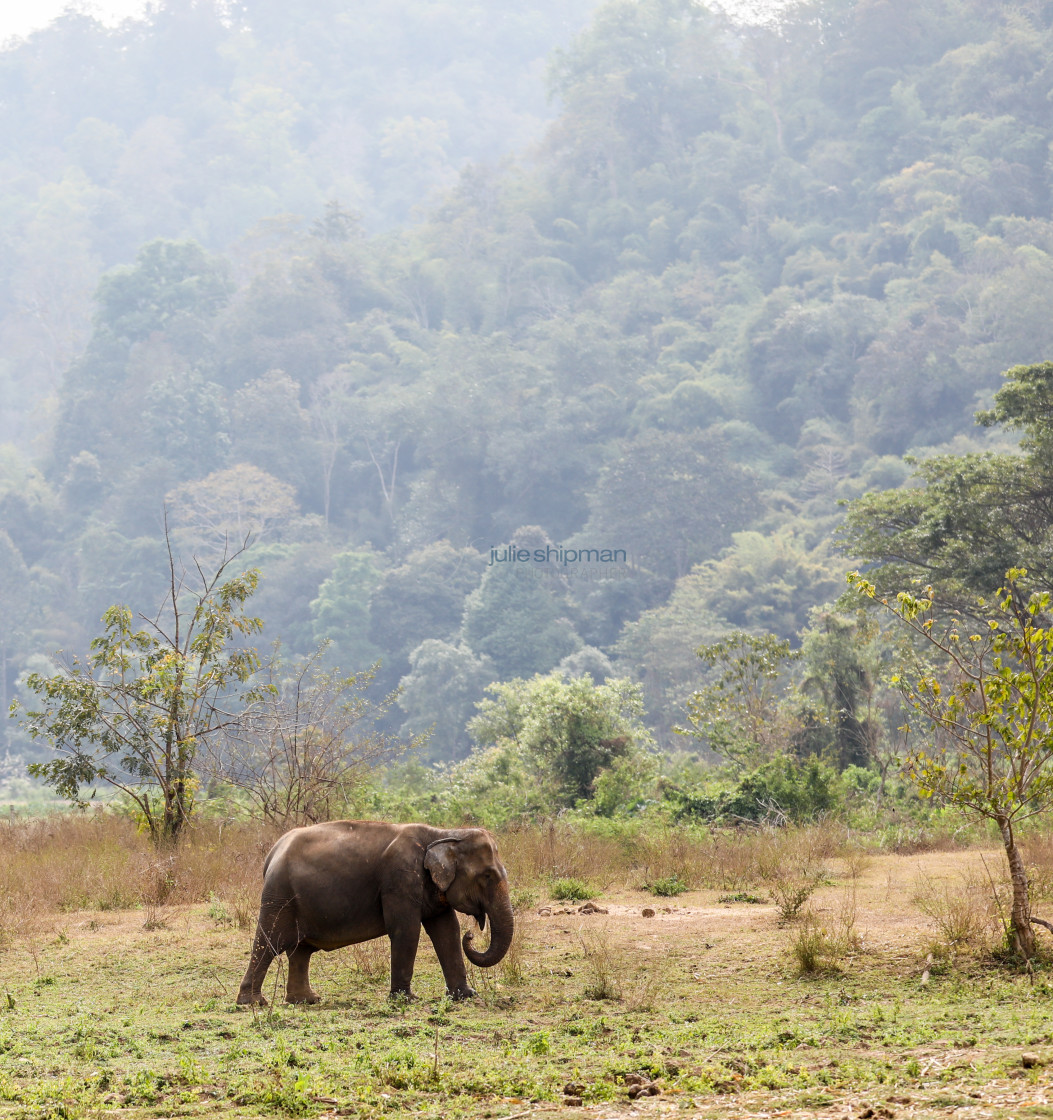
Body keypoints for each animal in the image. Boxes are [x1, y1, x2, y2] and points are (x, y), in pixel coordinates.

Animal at [239, 815, 517, 1008]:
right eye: (487, 876)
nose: (472, 935)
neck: (444, 833)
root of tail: (272, 852)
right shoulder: (399, 879)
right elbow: (406, 930)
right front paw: (406, 999)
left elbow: (447, 931)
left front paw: (466, 996)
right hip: (279, 896)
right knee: (269, 943)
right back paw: (253, 1002)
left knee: (300, 950)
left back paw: (306, 1000)